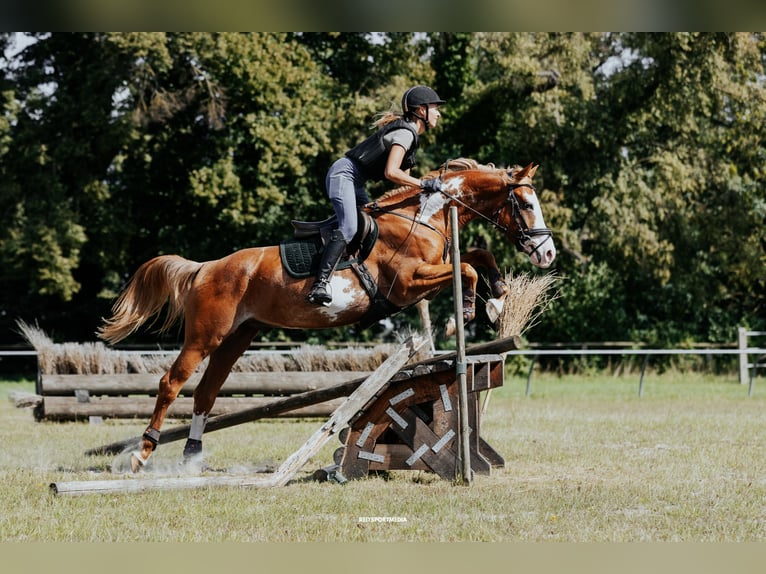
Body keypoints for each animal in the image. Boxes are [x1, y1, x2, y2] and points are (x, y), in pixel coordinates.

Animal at [97, 159, 556, 472]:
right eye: (526, 203)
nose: (548, 253)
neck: (420, 218)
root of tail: (205, 267)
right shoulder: (407, 285)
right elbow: (467, 268)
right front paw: (471, 307)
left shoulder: (428, 273)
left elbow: (478, 256)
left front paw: (499, 298)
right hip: (205, 335)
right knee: (171, 383)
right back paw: (142, 453)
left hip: (237, 337)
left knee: (206, 393)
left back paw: (193, 456)